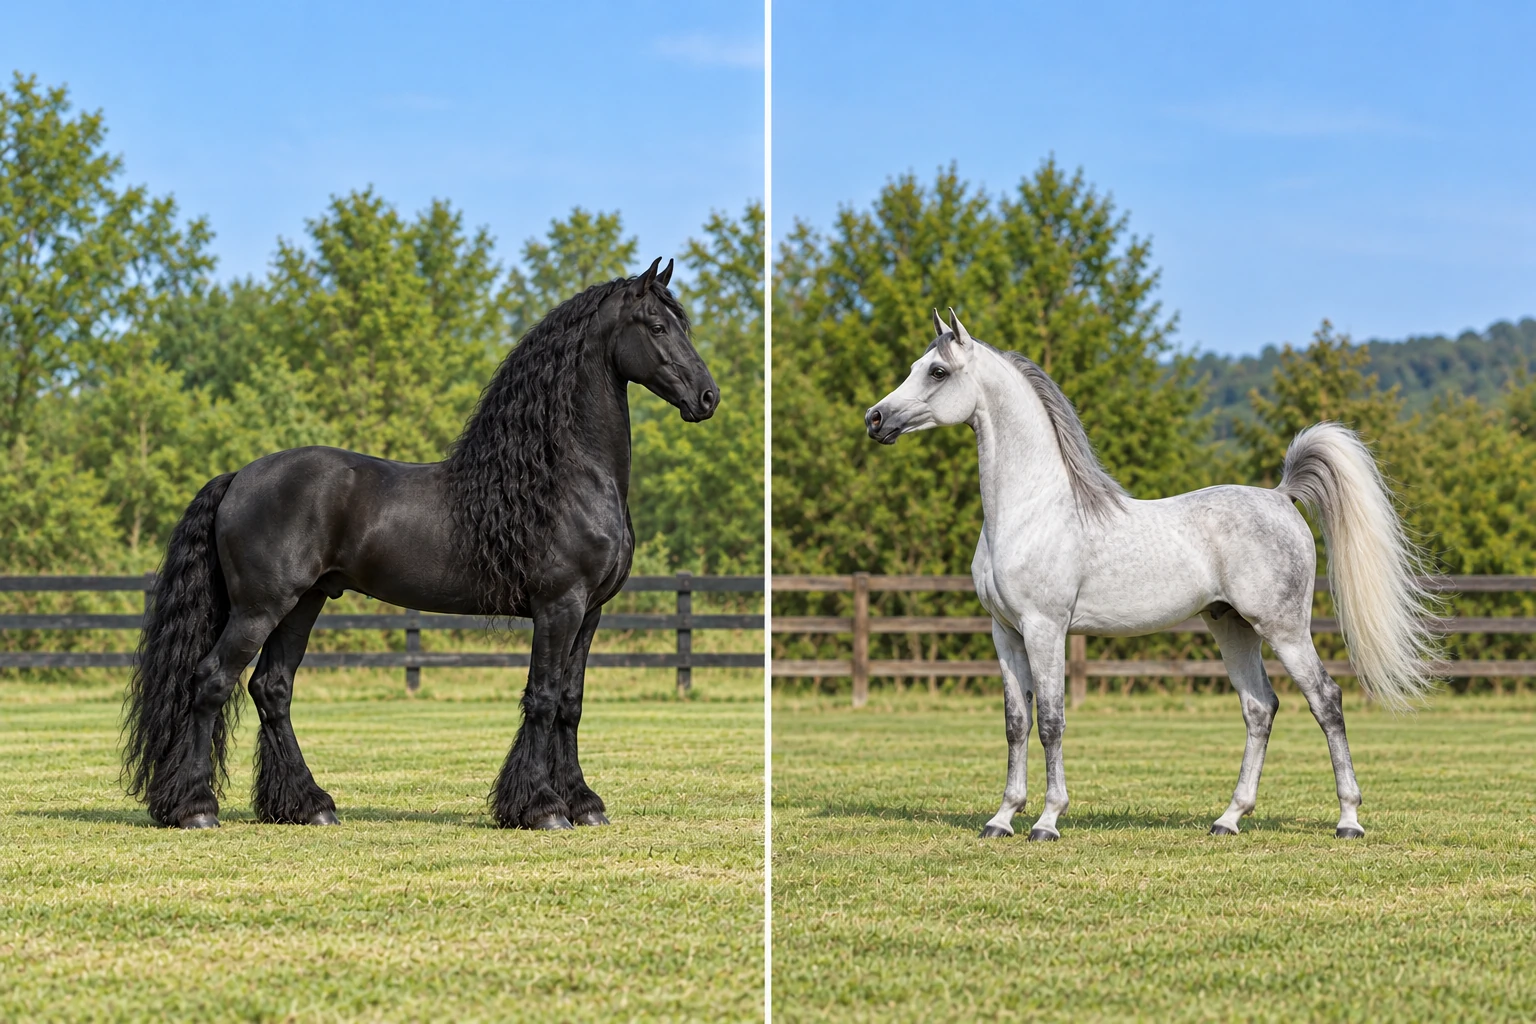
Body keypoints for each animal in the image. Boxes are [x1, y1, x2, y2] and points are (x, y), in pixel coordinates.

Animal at [123, 257, 718, 831]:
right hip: (259, 608)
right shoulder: (559, 606)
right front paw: (542, 808)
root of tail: (238, 477)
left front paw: (583, 802)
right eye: (658, 326)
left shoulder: (589, 612)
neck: (564, 477)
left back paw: (308, 805)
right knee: (211, 682)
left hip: (302, 603)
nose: (708, 397)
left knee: (272, 689)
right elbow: (544, 699)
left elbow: (570, 703)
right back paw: (196, 808)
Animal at [865, 309, 1438, 840]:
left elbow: (1051, 721)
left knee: (1325, 701)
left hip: (1284, 628)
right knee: (1259, 707)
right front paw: (1002, 818)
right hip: (1230, 626)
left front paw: (1047, 820)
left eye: (938, 371)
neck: (1030, 510)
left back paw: (1348, 820)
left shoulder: (1044, 628)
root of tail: (1281, 496)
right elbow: (1016, 723)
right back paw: (1229, 819)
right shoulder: (1004, 632)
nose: (874, 418)